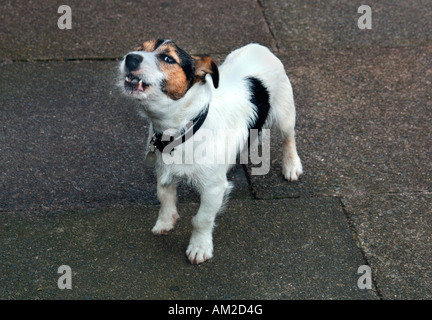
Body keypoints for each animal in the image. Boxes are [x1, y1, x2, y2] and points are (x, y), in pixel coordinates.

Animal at [116, 39, 302, 264]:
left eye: (168, 58)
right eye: (140, 48)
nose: (131, 57)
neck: (184, 128)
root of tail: (259, 46)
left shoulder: (214, 189)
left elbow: (201, 219)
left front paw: (199, 247)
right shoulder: (163, 173)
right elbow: (164, 197)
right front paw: (165, 222)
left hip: (285, 114)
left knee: (289, 139)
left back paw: (291, 166)